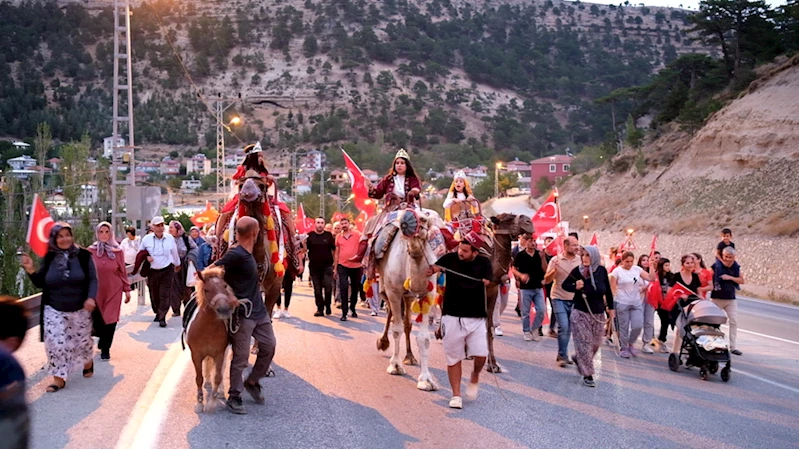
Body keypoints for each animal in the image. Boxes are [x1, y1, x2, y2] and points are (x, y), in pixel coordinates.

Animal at [186, 266, 239, 412]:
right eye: (206, 289)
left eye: (225, 286)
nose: (224, 309)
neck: (207, 328)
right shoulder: (196, 355)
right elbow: (199, 378)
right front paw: (199, 403)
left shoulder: (220, 353)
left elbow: (218, 376)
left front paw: (212, 402)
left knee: (221, 369)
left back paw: (219, 391)